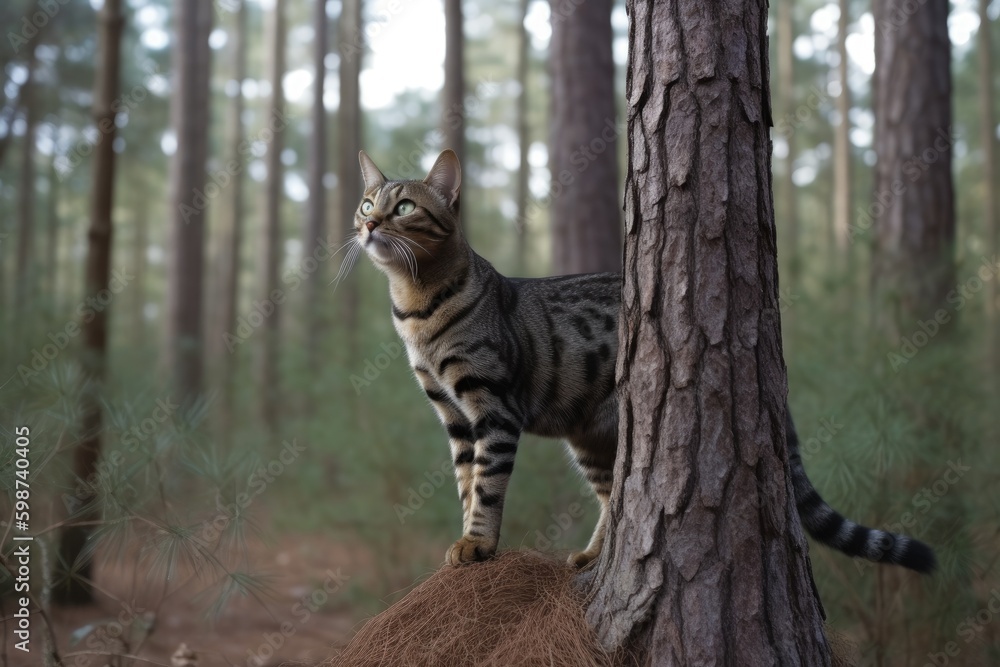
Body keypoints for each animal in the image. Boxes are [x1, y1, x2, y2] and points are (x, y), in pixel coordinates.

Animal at [354, 150, 936, 576]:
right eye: (365, 204)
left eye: (403, 208)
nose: (367, 225)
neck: (416, 308)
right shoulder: (453, 414)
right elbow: (465, 482)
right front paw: (465, 537)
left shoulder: (492, 405)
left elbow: (487, 485)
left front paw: (477, 544)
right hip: (589, 438)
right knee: (612, 497)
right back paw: (593, 556)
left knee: (614, 499)